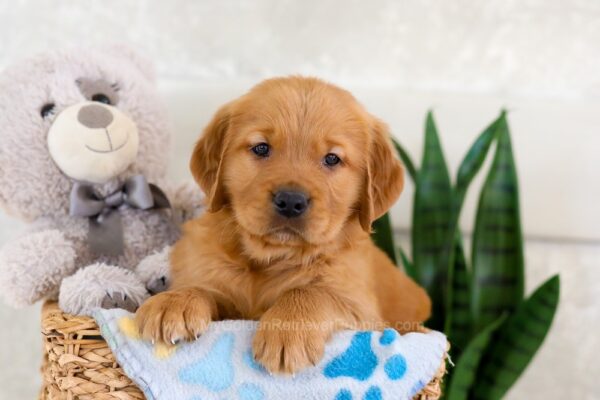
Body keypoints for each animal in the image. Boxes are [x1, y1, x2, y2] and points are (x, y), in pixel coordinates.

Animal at [135, 76, 432, 376]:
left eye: (332, 158)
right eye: (261, 148)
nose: (291, 201)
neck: (272, 258)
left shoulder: (364, 310)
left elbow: (312, 291)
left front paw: (287, 331)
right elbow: (204, 286)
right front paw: (175, 301)